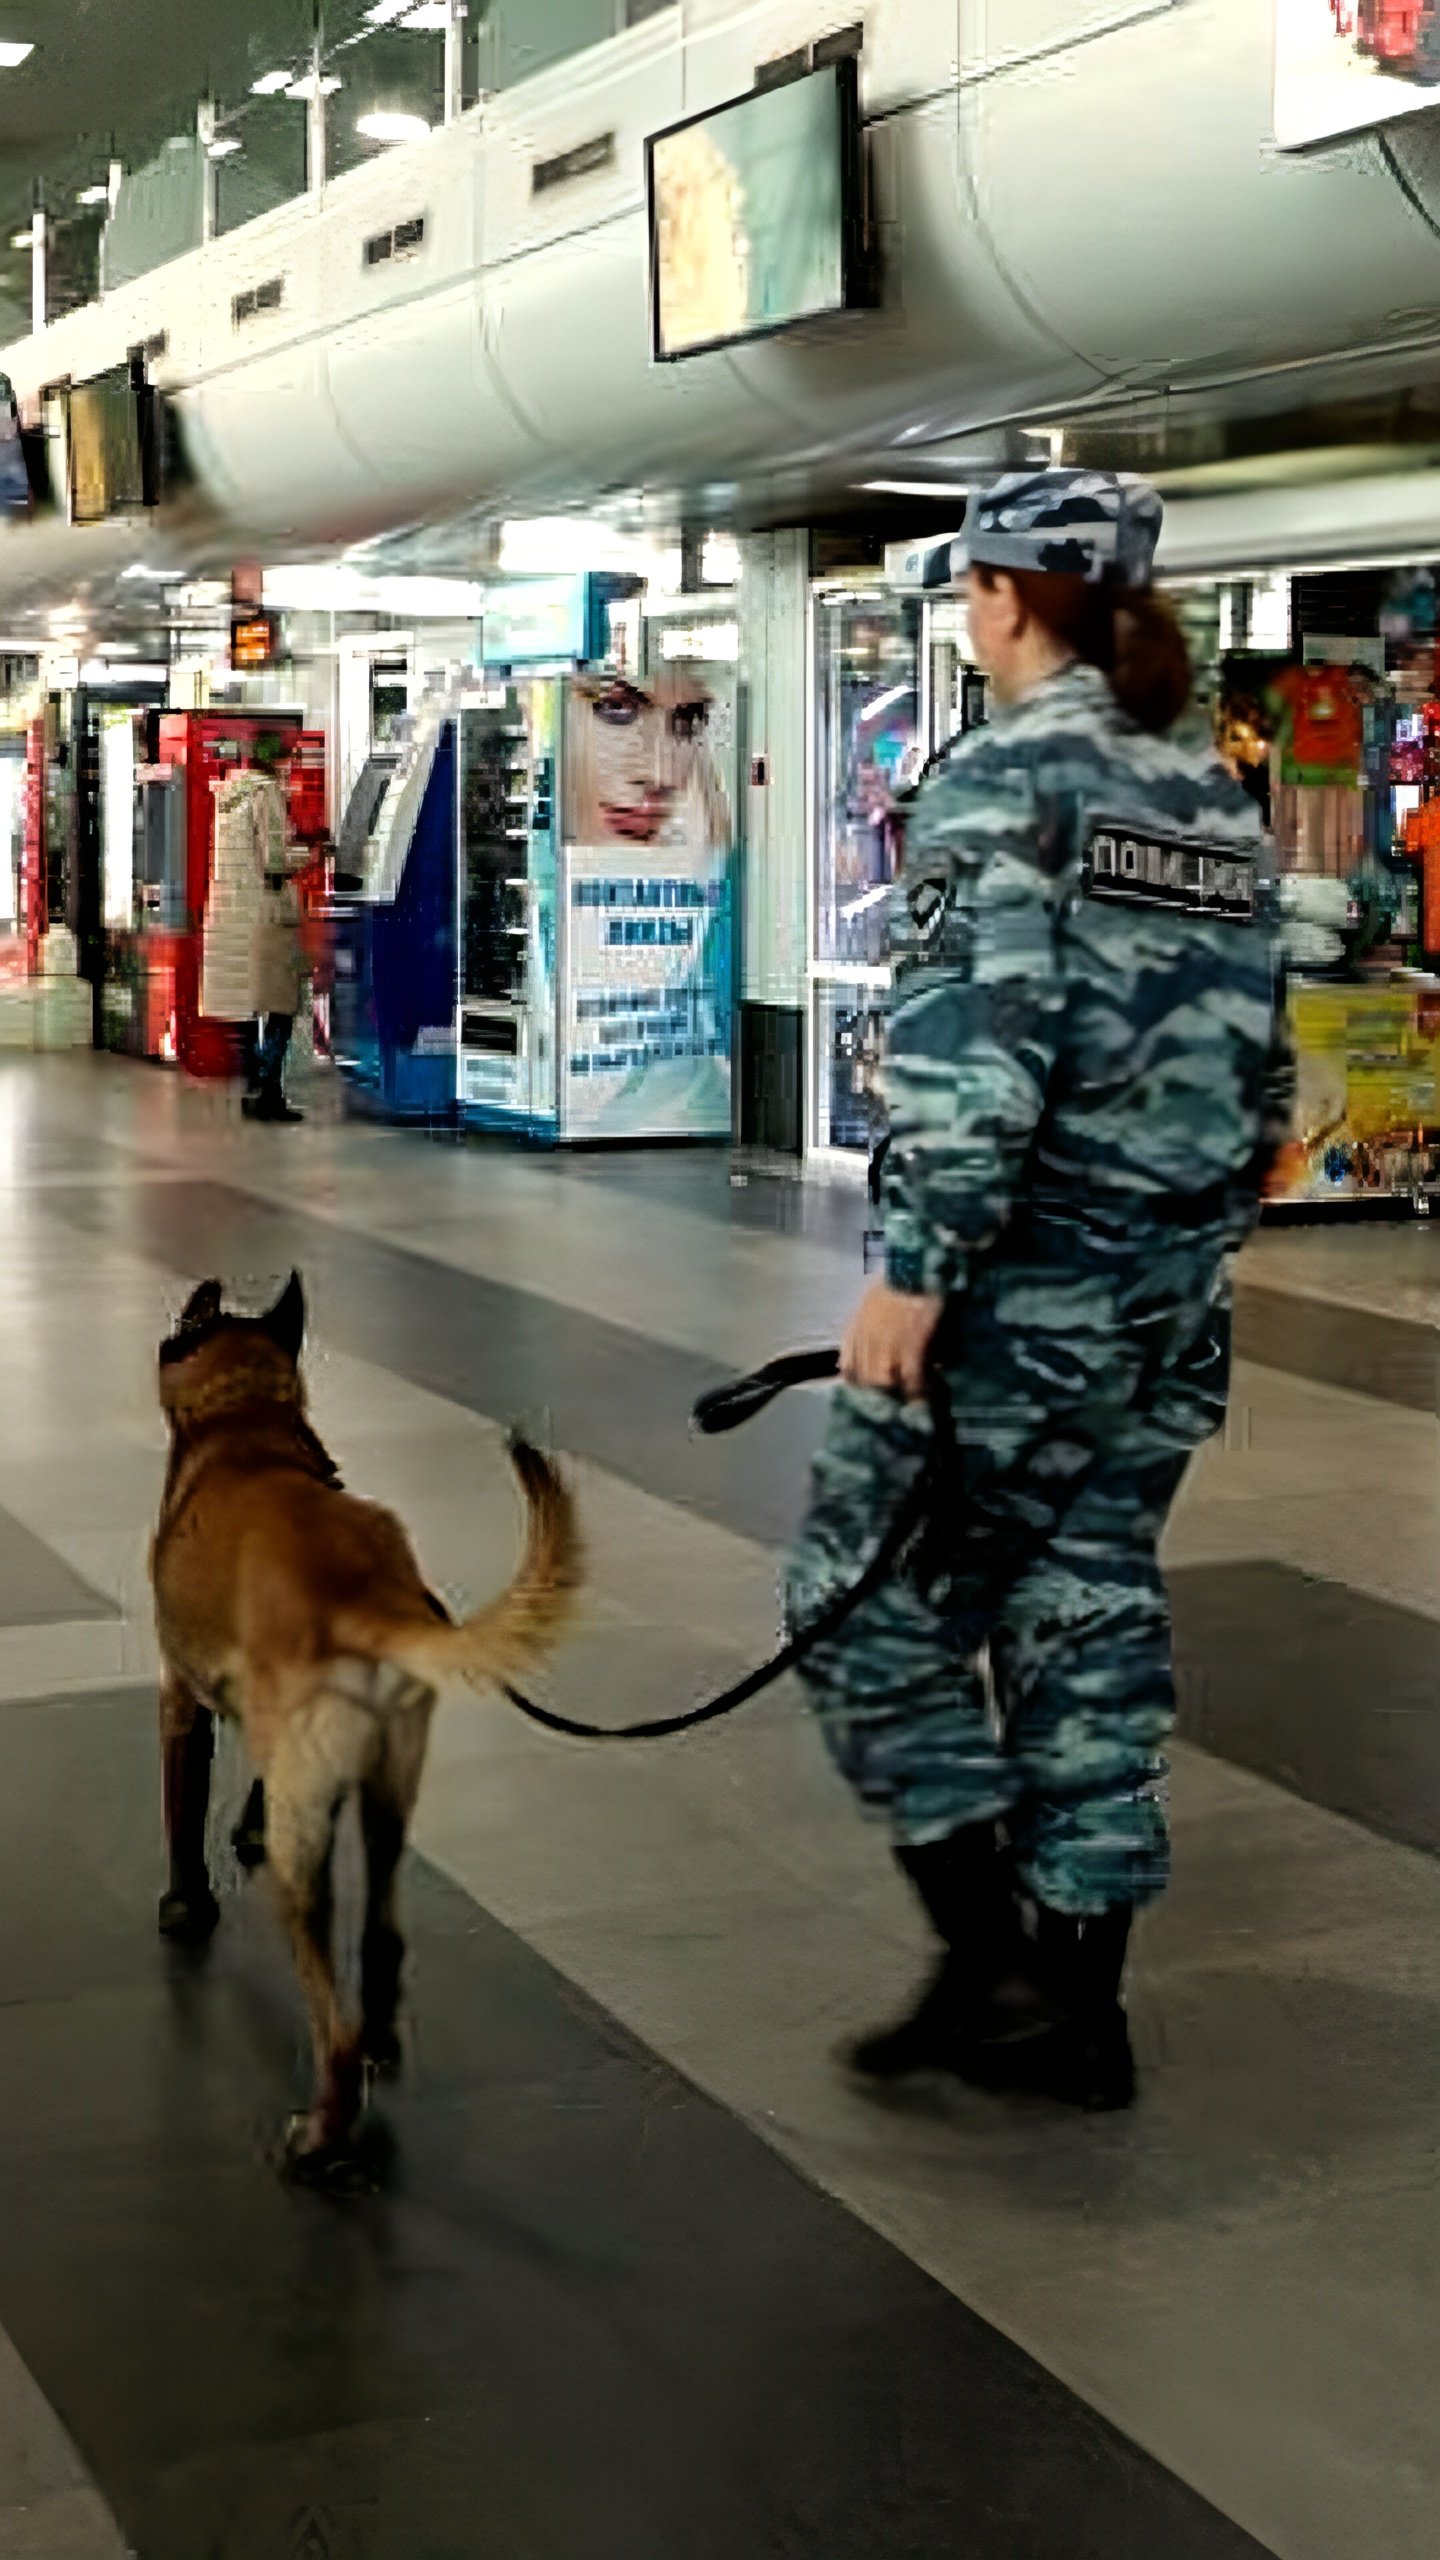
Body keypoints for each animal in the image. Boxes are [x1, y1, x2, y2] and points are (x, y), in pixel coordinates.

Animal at [154, 1269, 579, 2170]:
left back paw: (324, 2134)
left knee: (334, 2034)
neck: (247, 1432)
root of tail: (369, 1602)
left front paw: (184, 1906)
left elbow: (181, 1816)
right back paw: (381, 2038)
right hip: (388, 1798)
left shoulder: (180, 1701)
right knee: (383, 1936)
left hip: (302, 1872)